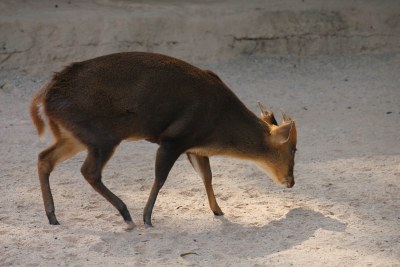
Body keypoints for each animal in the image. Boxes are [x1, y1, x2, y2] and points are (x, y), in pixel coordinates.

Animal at [29, 52, 296, 230]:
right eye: (293, 149)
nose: (291, 182)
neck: (219, 125)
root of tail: (45, 95)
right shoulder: (173, 138)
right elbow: (160, 177)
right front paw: (147, 218)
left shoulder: (195, 146)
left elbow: (207, 176)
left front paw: (218, 210)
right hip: (102, 136)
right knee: (88, 171)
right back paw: (126, 215)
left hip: (72, 136)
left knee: (44, 158)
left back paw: (52, 216)